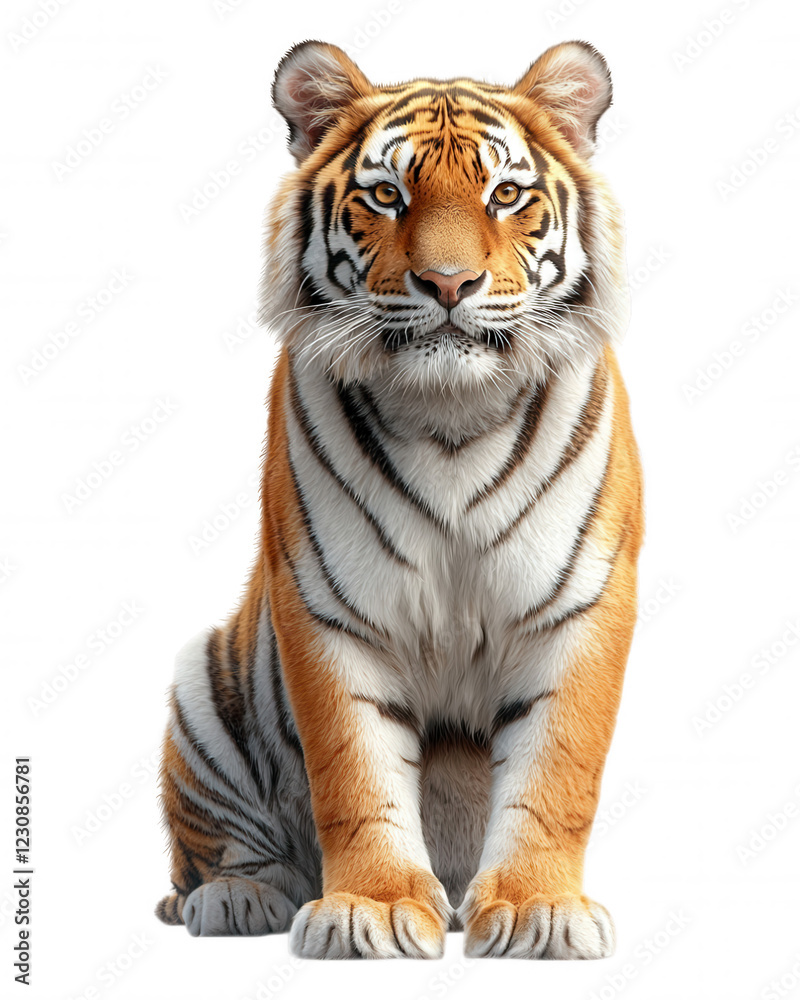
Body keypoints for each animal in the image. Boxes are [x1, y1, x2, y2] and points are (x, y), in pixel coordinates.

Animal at [155, 39, 644, 960]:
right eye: (387, 195)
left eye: (505, 195)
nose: (448, 283)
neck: (453, 415)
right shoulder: (328, 607)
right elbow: (354, 771)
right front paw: (370, 912)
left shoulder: (582, 603)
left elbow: (557, 771)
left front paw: (538, 910)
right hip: (202, 688)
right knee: (214, 852)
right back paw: (239, 899)